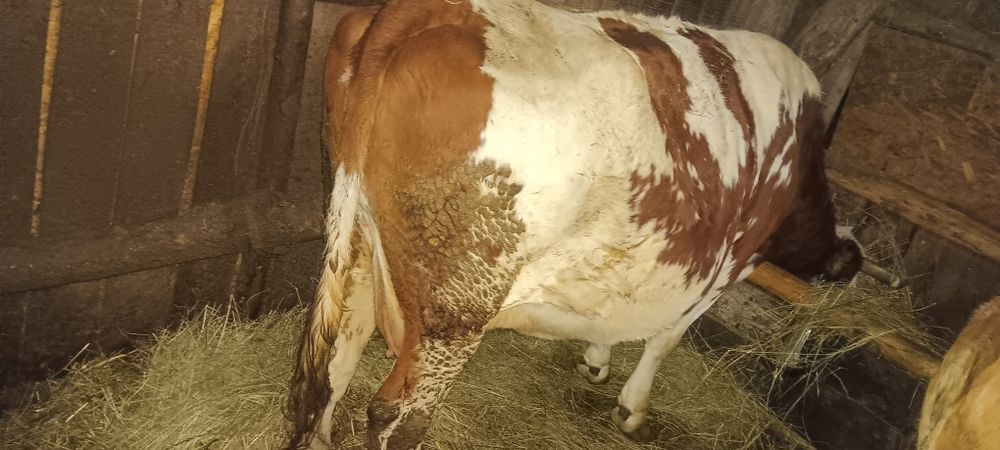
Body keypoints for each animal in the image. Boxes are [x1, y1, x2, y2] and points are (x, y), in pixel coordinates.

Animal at [287, 1, 861, 448]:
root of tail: (435, 11)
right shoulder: (728, 264)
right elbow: (666, 338)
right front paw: (632, 410)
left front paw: (597, 359)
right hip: (457, 309)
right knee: (396, 417)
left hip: (360, 250)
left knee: (332, 371)